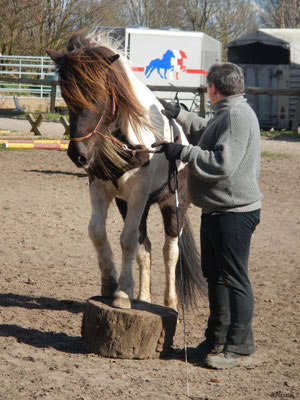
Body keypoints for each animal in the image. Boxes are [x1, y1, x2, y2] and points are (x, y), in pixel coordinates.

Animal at [47, 31, 204, 310]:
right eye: (66, 94)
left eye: (98, 94)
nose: (78, 154)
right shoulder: (100, 188)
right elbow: (98, 232)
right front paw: (111, 283)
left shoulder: (139, 194)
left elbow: (128, 239)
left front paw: (121, 293)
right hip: (130, 205)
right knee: (146, 248)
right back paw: (143, 298)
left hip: (175, 205)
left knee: (169, 251)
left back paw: (169, 303)